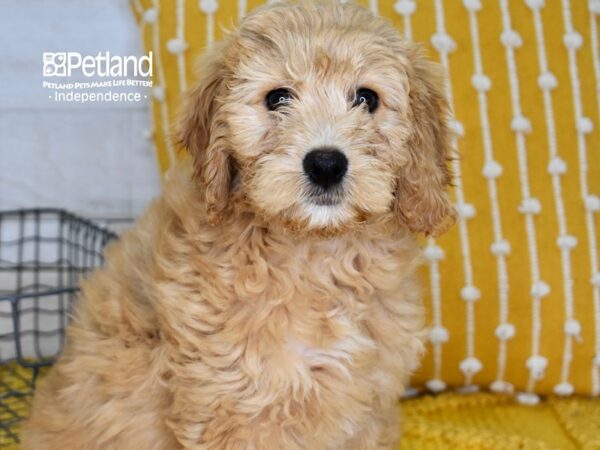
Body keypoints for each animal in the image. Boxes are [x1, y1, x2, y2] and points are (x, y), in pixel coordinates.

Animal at [23, 1, 454, 448]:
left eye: (367, 98)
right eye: (277, 98)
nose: (326, 164)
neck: (316, 251)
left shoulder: (369, 404)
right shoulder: (234, 406)